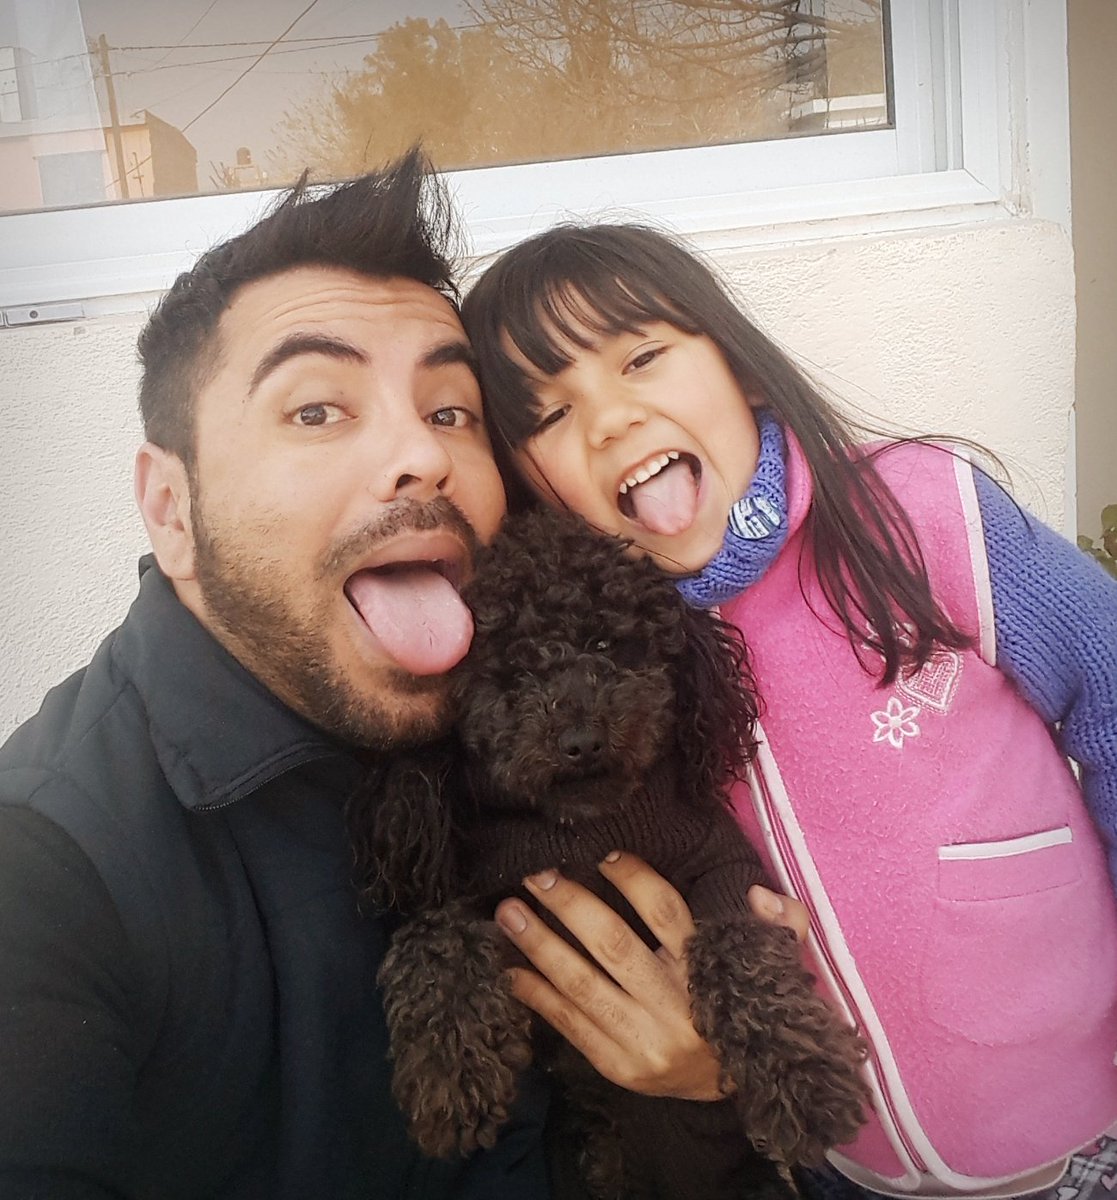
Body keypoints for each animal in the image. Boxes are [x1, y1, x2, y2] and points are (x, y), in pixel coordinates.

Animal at [352, 507, 869, 1198]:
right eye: (511, 672)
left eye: (603, 644)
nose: (579, 739)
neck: (586, 826)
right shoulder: (482, 892)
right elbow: (432, 938)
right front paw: (448, 1074)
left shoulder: (724, 870)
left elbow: (744, 956)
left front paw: (804, 1083)